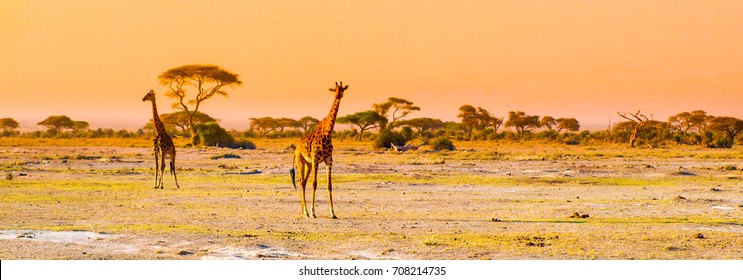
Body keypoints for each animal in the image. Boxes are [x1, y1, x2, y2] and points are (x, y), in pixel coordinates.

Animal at [290, 81, 348, 219]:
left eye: (342, 89)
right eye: (334, 90)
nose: (338, 95)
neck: (327, 132)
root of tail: (296, 149)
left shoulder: (328, 160)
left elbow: (329, 185)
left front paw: (333, 213)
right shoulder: (316, 160)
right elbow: (314, 184)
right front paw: (313, 212)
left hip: (309, 164)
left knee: (303, 182)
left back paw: (303, 211)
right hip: (301, 161)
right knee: (302, 181)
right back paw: (306, 211)